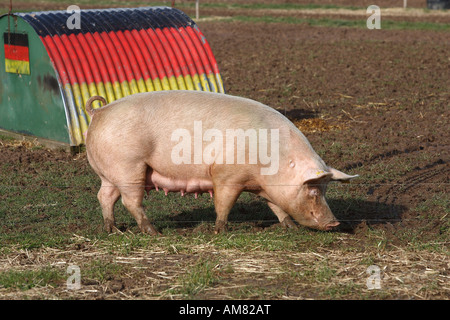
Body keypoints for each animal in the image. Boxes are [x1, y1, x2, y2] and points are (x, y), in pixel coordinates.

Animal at [85, 90, 358, 235]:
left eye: (326, 189)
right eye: (312, 190)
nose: (335, 222)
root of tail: (99, 111)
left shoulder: (267, 187)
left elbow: (277, 206)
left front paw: (289, 227)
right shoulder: (226, 176)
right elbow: (223, 204)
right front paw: (220, 231)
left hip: (110, 173)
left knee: (104, 196)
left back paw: (112, 229)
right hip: (129, 166)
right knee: (131, 201)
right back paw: (154, 232)